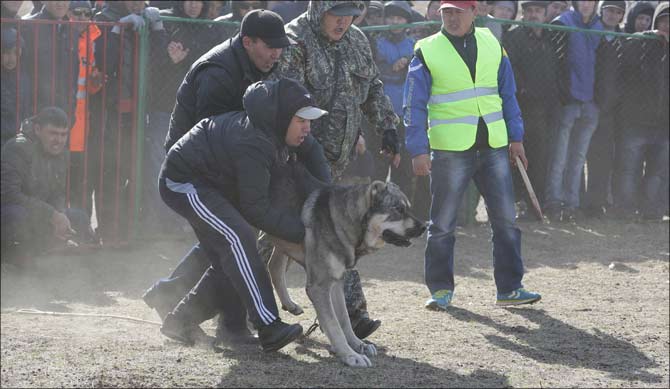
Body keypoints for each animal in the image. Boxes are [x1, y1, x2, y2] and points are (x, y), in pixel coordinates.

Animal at [266, 159, 428, 366]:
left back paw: (289, 304)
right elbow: (333, 324)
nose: (425, 227)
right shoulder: (320, 287)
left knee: (274, 267)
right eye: (398, 210)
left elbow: (343, 320)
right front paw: (350, 355)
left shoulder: (336, 282)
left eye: (408, 207)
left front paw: (358, 345)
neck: (345, 221)